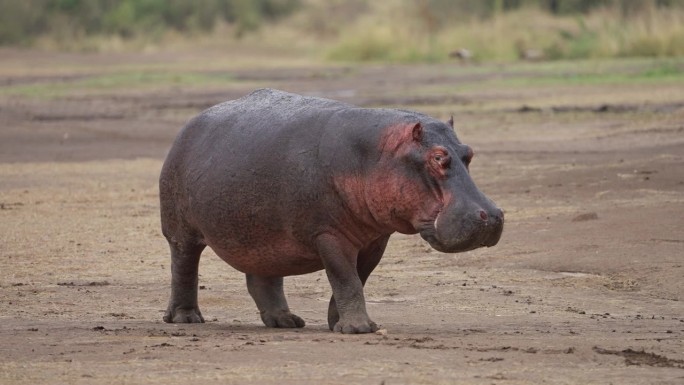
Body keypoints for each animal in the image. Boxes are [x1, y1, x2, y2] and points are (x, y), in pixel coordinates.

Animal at [160, 88, 502, 332]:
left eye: (469, 153)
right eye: (438, 157)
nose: (493, 216)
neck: (378, 154)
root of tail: (190, 123)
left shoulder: (375, 239)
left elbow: (358, 277)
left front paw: (340, 324)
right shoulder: (328, 234)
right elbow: (345, 277)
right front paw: (359, 329)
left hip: (262, 234)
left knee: (263, 279)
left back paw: (286, 322)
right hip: (180, 230)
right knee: (184, 266)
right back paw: (186, 319)